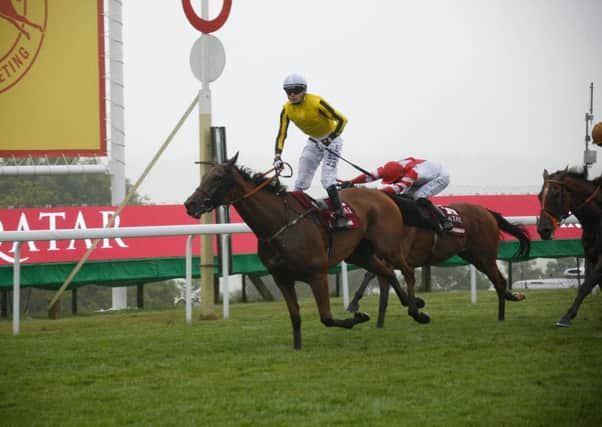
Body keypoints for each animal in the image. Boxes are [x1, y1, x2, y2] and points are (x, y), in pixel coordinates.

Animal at [183, 155, 426, 350]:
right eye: (205, 176)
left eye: (217, 177)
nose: (190, 204)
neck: (279, 224)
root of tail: (382, 194)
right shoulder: (282, 279)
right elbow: (295, 317)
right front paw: (297, 347)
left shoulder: (317, 274)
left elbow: (326, 317)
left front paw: (358, 317)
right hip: (360, 254)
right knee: (388, 272)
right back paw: (410, 304)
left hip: (388, 246)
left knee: (406, 270)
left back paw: (416, 311)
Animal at [344, 200, 528, 328]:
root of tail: (487, 211)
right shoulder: (383, 260)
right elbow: (380, 285)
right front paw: (376, 321)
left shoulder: (397, 259)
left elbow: (380, 278)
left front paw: (415, 307)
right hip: (475, 258)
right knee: (500, 281)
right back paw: (509, 302)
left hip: (485, 257)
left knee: (499, 282)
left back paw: (501, 316)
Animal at [536, 167, 596, 328]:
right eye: (539, 196)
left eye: (556, 194)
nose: (543, 230)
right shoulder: (591, 255)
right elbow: (588, 284)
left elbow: (586, 285)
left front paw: (566, 317)